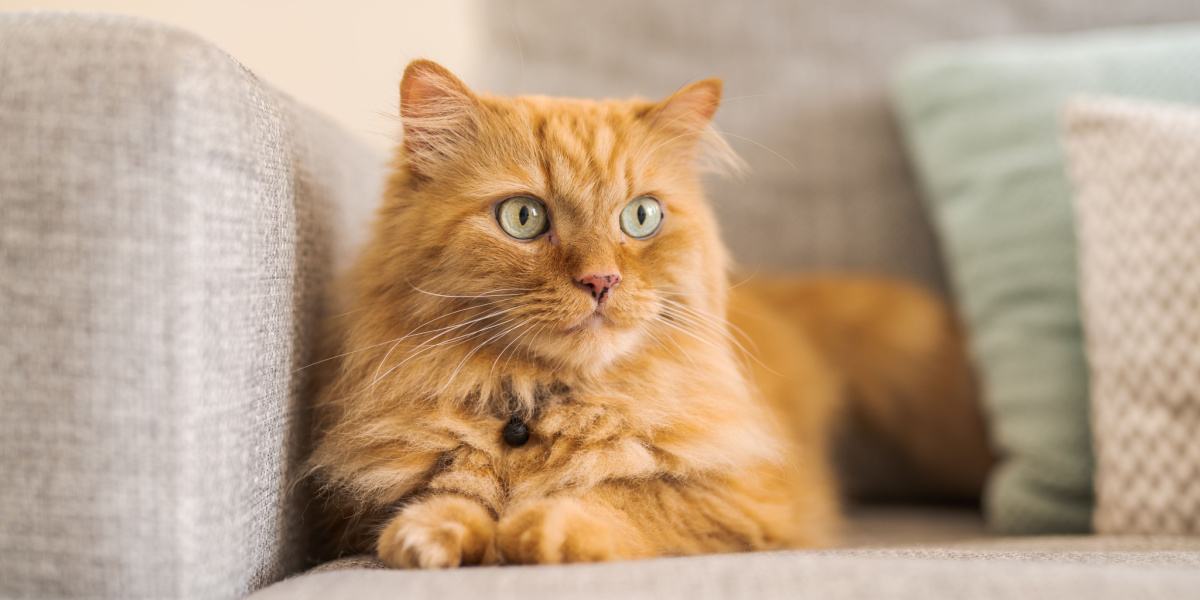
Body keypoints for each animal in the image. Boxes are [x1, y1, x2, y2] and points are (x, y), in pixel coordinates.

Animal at [309, 59, 993, 566]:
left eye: (641, 216)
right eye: (522, 217)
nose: (601, 280)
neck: (545, 404)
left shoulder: (743, 496)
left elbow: (625, 499)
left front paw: (539, 525)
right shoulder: (364, 502)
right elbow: (447, 498)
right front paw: (435, 532)